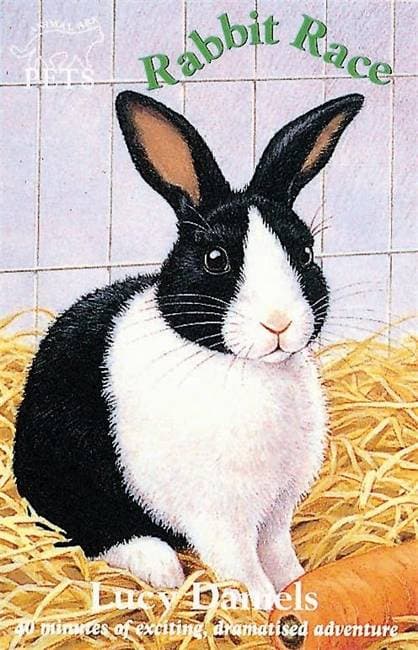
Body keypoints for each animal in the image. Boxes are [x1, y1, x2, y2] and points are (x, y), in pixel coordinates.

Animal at [13, 90, 363, 607]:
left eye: (304, 253)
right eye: (215, 259)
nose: (279, 322)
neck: (244, 368)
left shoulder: (276, 509)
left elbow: (277, 552)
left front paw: (297, 585)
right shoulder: (219, 516)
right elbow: (242, 564)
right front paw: (263, 605)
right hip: (66, 469)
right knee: (84, 525)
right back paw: (158, 565)